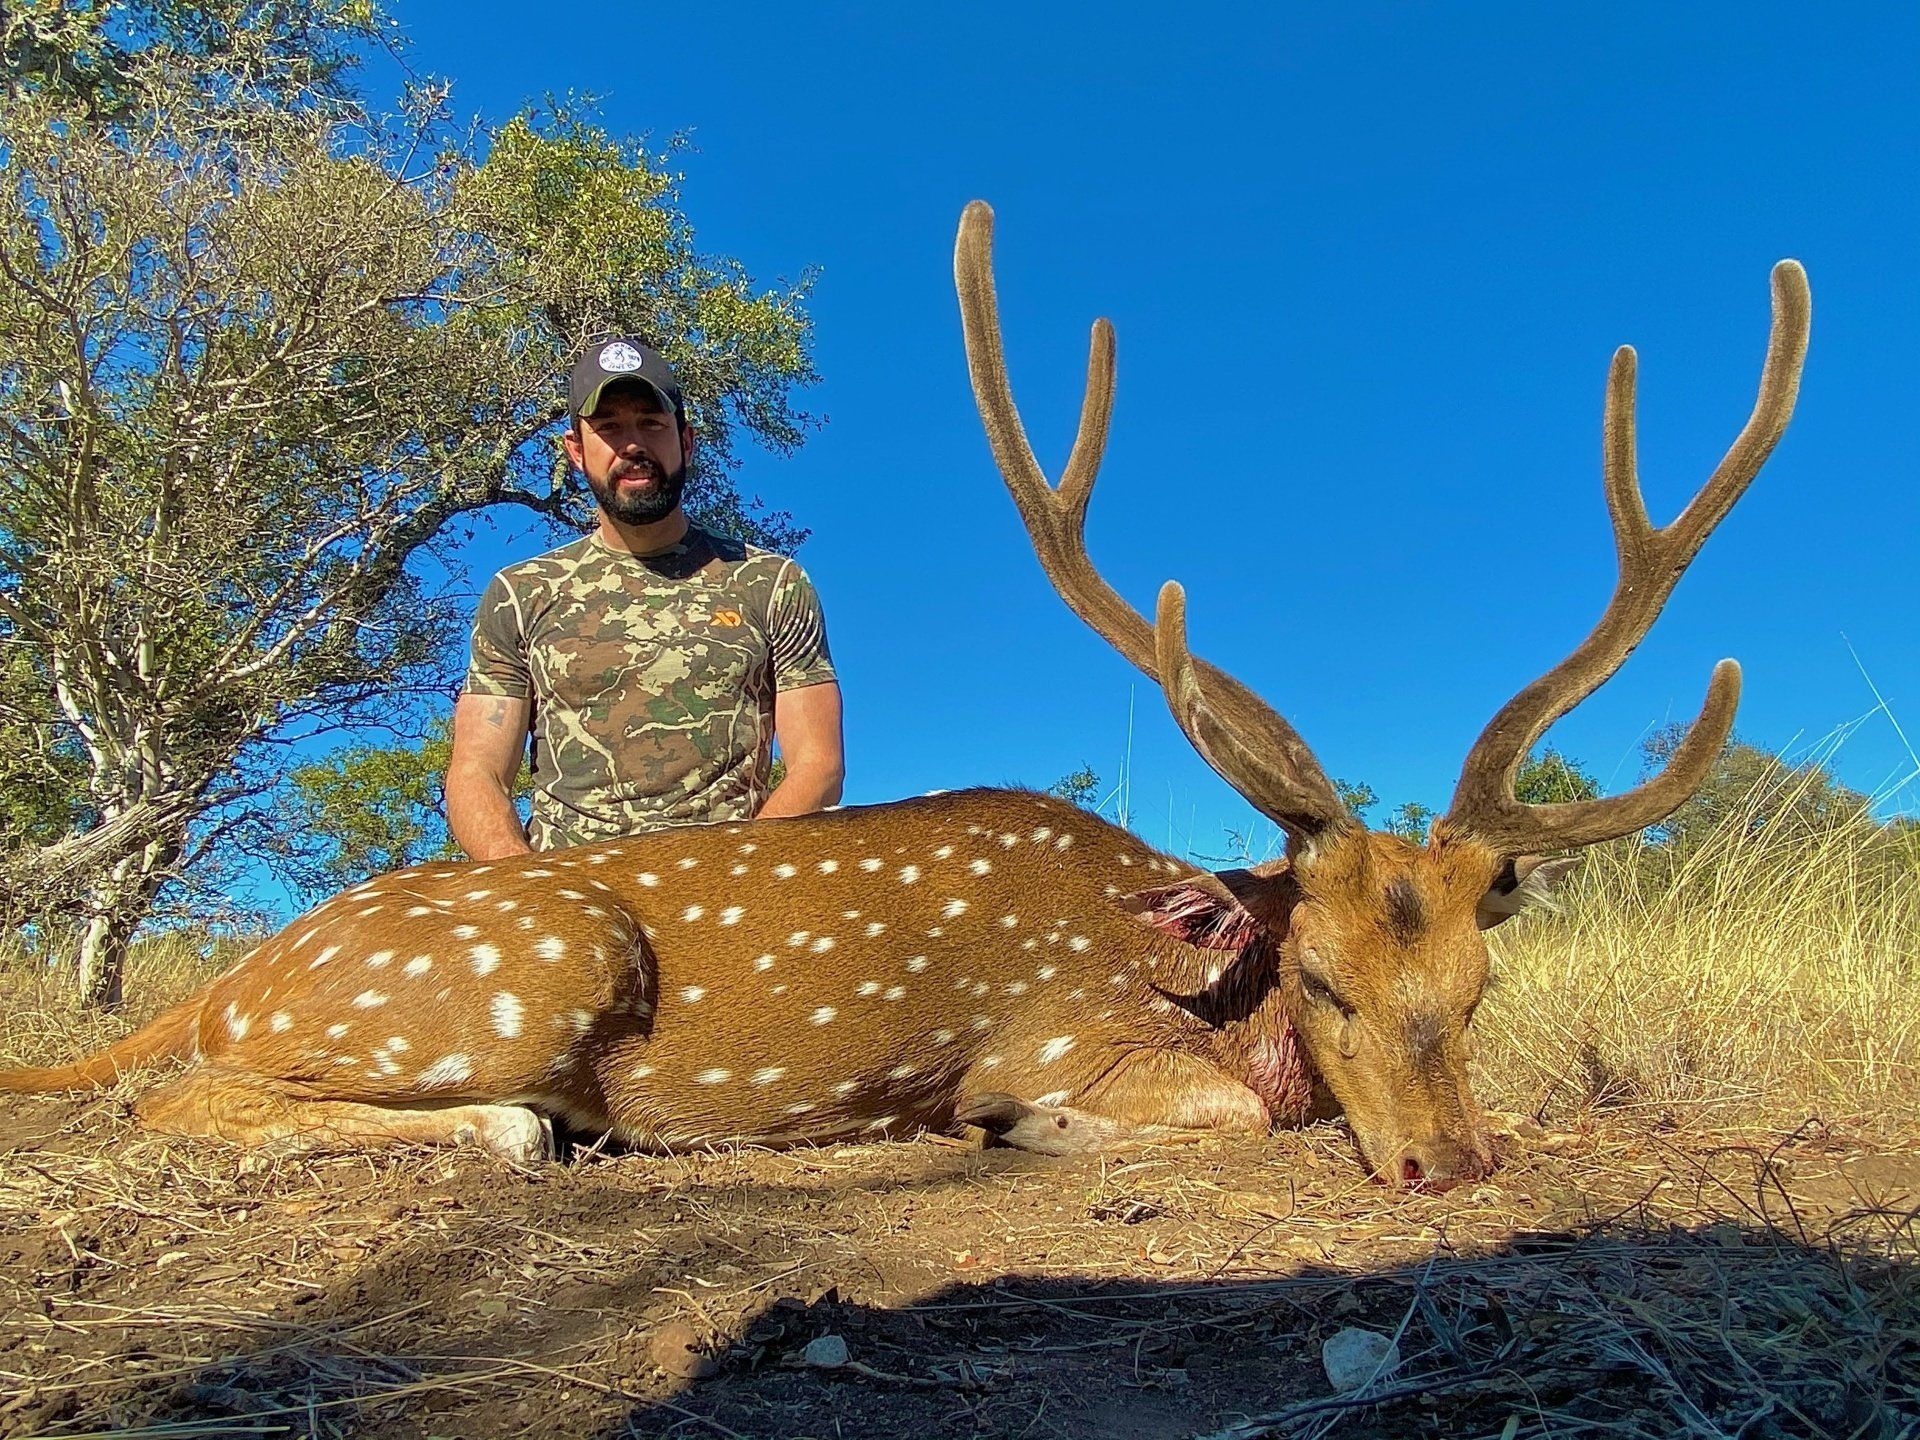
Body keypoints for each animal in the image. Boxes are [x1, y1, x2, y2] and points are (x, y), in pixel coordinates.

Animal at [0, 203, 1809, 1189]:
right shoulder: (1059, 1032)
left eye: (1480, 989)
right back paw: (515, 1131)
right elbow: (1203, 1110)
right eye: (1327, 981)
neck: (1192, 958)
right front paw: (1024, 1133)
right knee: (181, 1096)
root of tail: (239, 970)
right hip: (529, 964)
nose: (1454, 1162)